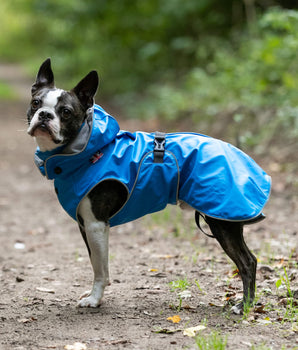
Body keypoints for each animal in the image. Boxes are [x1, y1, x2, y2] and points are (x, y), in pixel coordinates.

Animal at [26, 58, 272, 314]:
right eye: (35, 103)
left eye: (65, 112)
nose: (44, 115)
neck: (87, 150)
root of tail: (244, 159)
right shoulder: (86, 225)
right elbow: (96, 262)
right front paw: (97, 296)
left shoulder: (96, 224)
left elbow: (100, 268)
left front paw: (94, 300)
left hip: (222, 221)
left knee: (247, 262)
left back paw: (244, 306)